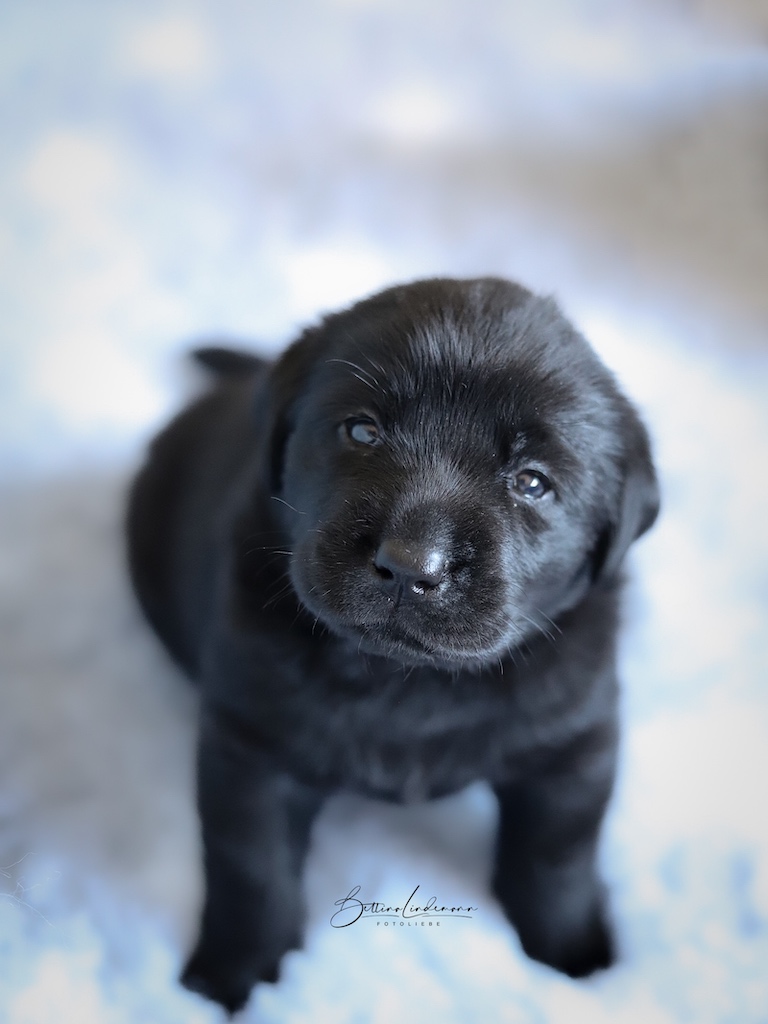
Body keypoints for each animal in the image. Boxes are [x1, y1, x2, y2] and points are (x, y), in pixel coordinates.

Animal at [126, 277, 659, 1014]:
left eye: (531, 481)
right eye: (362, 430)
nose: (412, 564)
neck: (407, 680)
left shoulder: (575, 743)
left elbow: (558, 854)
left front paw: (575, 958)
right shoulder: (250, 746)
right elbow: (252, 868)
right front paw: (233, 977)